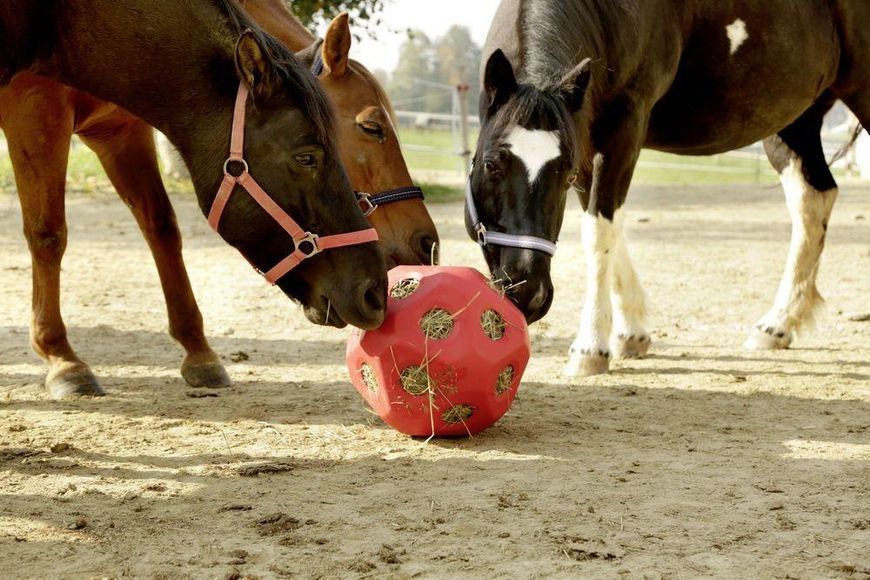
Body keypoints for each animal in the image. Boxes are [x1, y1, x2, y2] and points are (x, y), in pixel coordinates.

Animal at [0, 0, 388, 398]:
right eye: (307, 157)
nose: (375, 292)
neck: (58, 18)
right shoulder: (36, 113)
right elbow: (48, 233)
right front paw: (63, 359)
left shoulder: (117, 130)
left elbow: (162, 227)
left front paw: (199, 353)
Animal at [467, 0, 869, 376]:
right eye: (491, 165)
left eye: (564, 176)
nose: (529, 293)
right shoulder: (587, 139)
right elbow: (607, 227)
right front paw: (631, 333)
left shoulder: (624, 127)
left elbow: (599, 232)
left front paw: (591, 348)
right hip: (796, 121)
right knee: (814, 201)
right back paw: (778, 324)